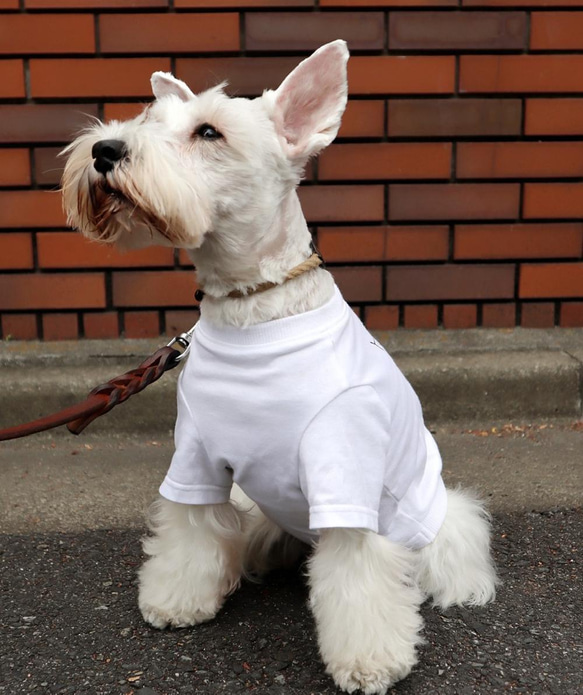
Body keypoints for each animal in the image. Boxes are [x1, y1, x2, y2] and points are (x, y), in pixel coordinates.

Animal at [61, 40, 498, 692]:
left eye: (209, 132)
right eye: (146, 119)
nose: (103, 151)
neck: (251, 307)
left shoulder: (346, 472)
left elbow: (359, 579)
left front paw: (369, 663)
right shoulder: (194, 456)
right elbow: (190, 533)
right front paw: (176, 601)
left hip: (432, 519)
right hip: (260, 507)